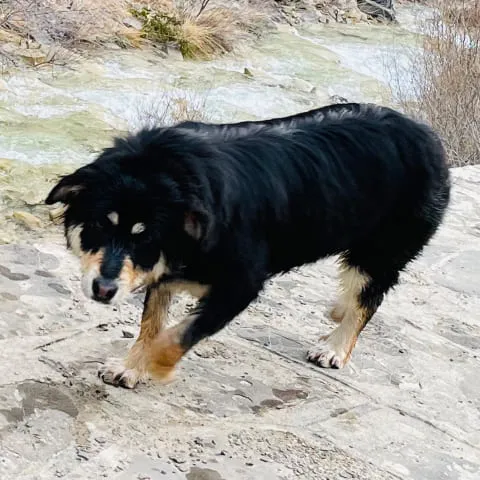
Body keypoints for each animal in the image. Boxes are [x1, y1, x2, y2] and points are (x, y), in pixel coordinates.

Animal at [45, 103, 450, 389]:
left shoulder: (241, 285)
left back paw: (335, 347)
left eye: (145, 238)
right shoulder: (165, 274)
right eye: (100, 225)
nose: (103, 290)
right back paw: (336, 314)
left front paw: (156, 366)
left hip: (380, 252)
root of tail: (428, 135)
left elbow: (176, 334)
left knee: (368, 299)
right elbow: (151, 325)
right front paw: (131, 367)